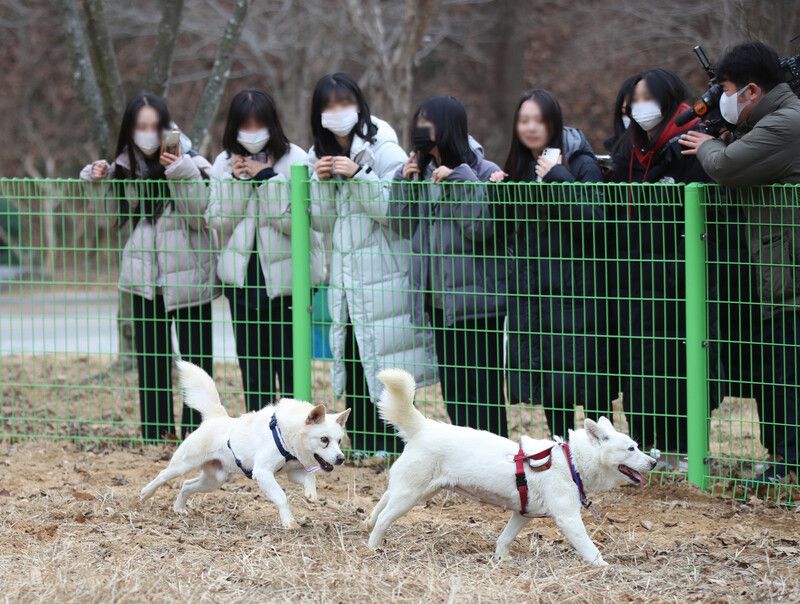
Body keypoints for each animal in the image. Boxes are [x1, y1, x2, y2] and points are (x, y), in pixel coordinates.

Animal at [140, 358, 350, 528]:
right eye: (324, 440)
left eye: (339, 441)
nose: (341, 458)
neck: (285, 435)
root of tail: (215, 417)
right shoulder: (263, 473)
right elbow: (282, 497)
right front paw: (289, 522)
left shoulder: (292, 472)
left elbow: (310, 477)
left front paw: (311, 494)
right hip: (183, 464)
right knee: (162, 476)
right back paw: (144, 494)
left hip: (214, 480)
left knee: (186, 485)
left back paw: (178, 508)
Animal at [368, 368, 656, 568]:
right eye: (631, 449)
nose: (654, 462)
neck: (570, 461)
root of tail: (425, 427)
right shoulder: (568, 518)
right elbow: (589, 547)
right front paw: (604, 566)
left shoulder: (522, 514)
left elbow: (504, 538)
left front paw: (501, 559)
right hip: (410, 495)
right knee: (384, 519)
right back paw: (373, 547)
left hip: (415, 490)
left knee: (383, 501)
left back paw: (367, 522)